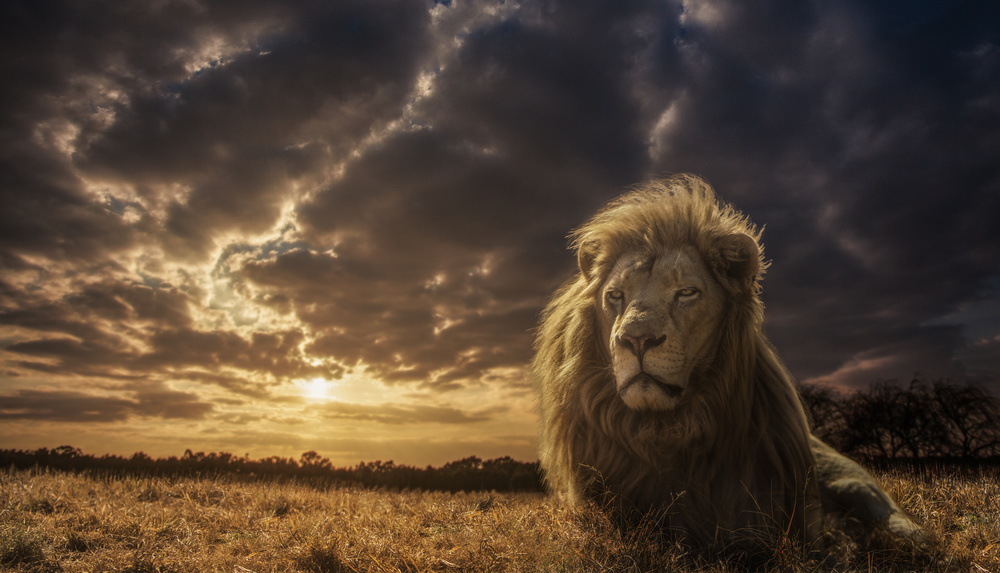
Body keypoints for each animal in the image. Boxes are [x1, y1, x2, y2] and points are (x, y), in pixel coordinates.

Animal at [533, 174, 926, 553]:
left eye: (686, 293)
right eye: (615, 295)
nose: (636, 340)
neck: (665, 429)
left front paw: (841, 541)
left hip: (856, 485)